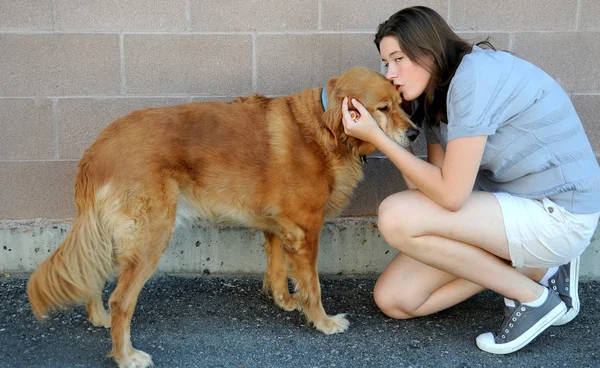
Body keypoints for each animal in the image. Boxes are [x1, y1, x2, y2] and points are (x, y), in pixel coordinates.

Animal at [27, 67, 418, 366]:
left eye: (402, 103)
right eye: (382, 108)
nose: (415, 132)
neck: (323, 128)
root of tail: (97, 149)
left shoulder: (280, 228)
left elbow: (279, 271)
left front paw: (284, 302)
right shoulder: (304, 230)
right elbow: (313, 285)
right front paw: (322, 321)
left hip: (116, 234)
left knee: (93, 276)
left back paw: (99, 319)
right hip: (150, 236)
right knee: (122, 300)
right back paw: (125, 355)